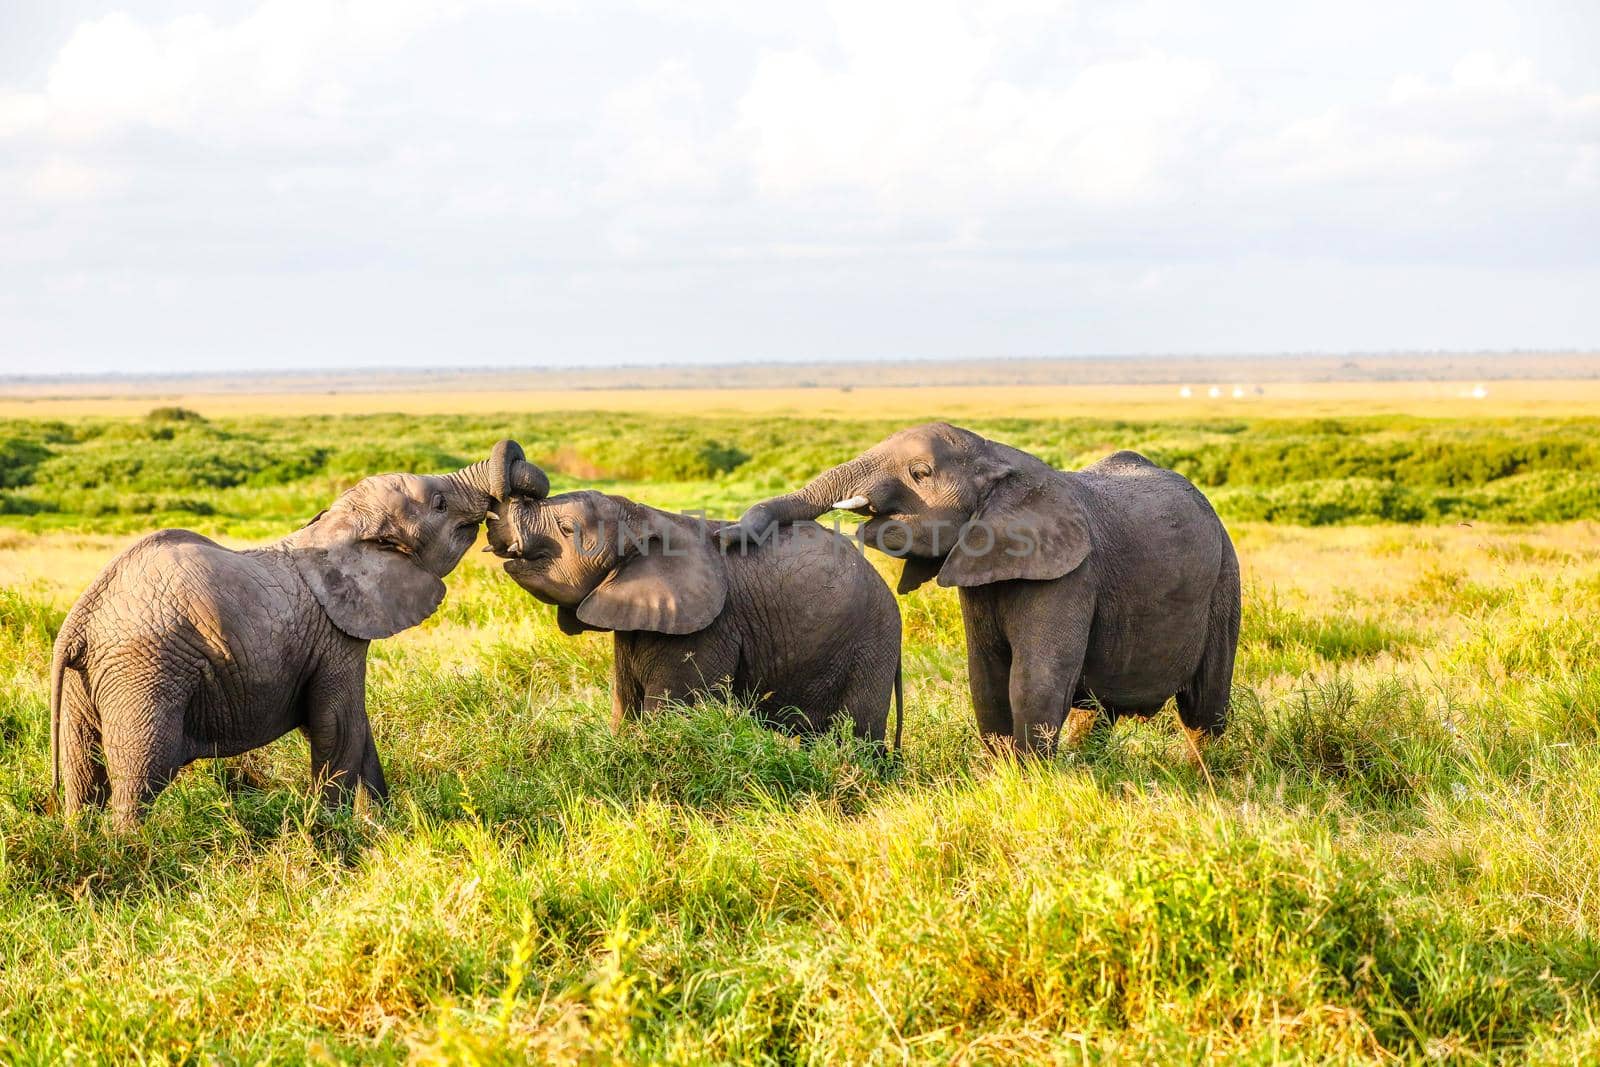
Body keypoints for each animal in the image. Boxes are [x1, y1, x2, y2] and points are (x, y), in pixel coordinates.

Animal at [50, 438, 550, 831]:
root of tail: (78, 623)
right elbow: (337, 725)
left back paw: (82, 841)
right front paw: (336, 831)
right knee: (140, 776)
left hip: (88, 683)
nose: (503, 524)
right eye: (440, 504)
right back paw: (132, 850)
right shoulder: (335, 637)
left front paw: (382, 826)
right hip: (145, 672)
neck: (336, 527)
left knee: (82, 776)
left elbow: (356, 728)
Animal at [480, 489, 908, 748]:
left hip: (871, 645)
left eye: (567, 529)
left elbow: (668, 714)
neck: (647, 516)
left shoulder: (708, 629)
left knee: (859, 733)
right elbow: (625, 709)